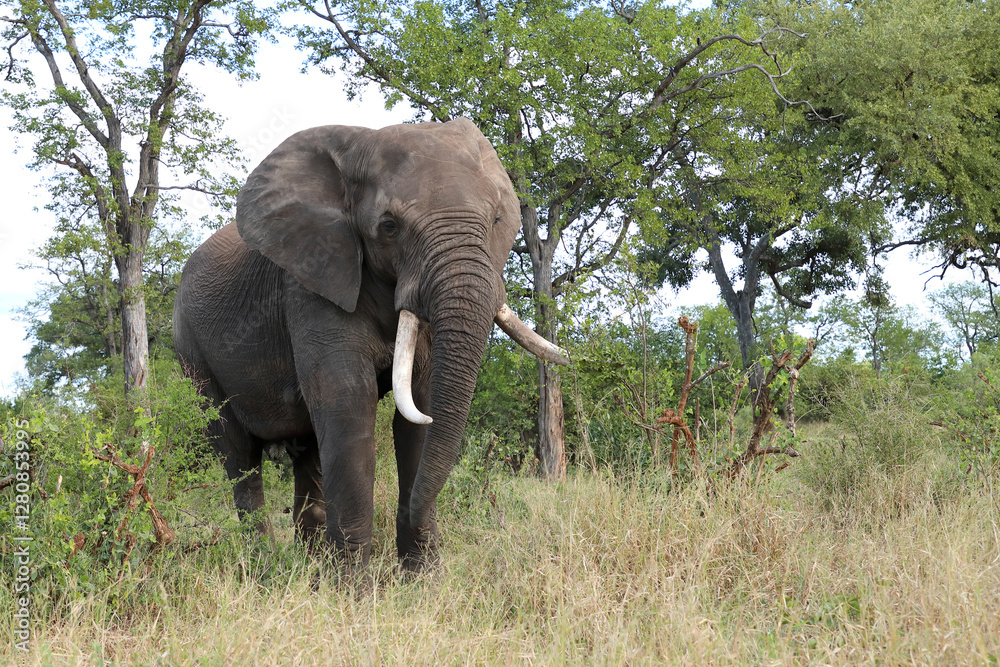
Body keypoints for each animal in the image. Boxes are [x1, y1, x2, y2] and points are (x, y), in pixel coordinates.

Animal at [173, 118, 567, 574]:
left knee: (307, 453)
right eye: (389, 226)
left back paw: (311, 567)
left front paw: (422, 579)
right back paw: (264, 568)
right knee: (238, 455)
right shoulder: (313, 278)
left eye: (497, 218)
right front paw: (355, 587)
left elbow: (419, 407)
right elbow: (347, 400)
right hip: (192, 351)